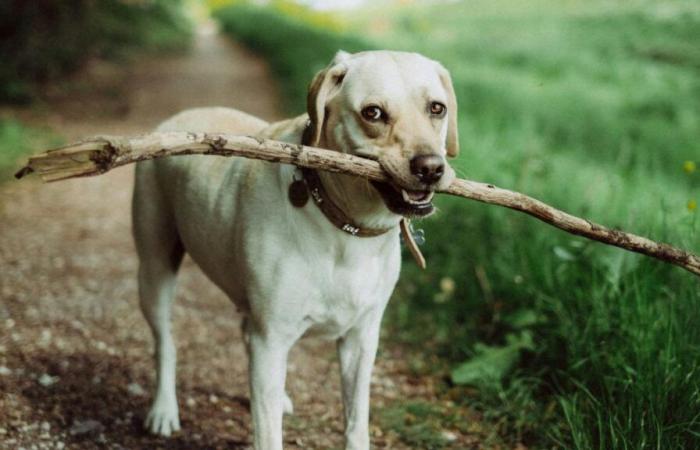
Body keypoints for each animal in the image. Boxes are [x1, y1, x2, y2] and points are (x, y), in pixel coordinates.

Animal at [132, 50, 460, 450]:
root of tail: (176, 118)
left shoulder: (361, 338)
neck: (345, 228)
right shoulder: (272, 338)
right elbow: (268, 433)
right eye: (373, 113)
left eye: (437, 108)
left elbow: (356, 422)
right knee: (165, 342)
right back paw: (163, 410)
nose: (430, 168)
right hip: (155, 268)